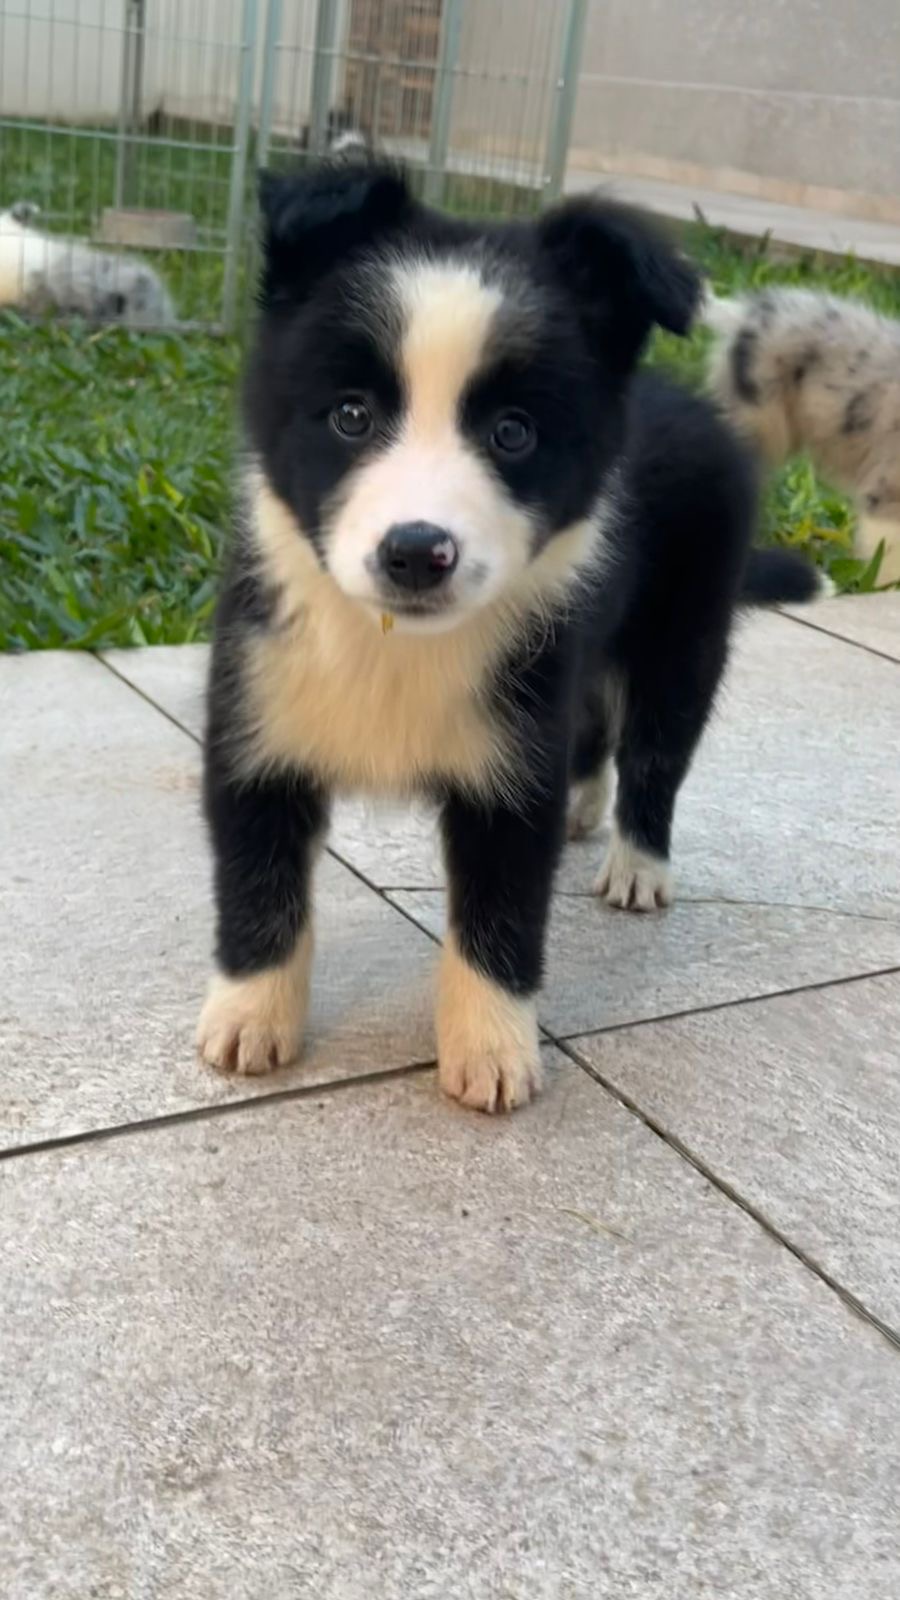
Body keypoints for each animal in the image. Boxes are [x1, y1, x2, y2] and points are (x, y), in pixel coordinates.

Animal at [196, 162, 819, 1113]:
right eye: (350, 415)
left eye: (513, 433)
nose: (417, 553)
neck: (395, 642)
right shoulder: (259, 710)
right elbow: (256, 877)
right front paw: (248, 1017)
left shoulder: (512, 747)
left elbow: (503, 904)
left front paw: (491, 1050)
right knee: (592, 731)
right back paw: (586, 807)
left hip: (684, 629)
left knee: (656, 750)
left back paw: (639, 863)